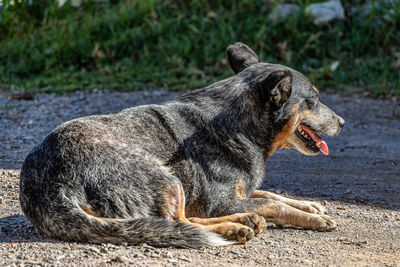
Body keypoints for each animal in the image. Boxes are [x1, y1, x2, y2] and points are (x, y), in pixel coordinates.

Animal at [19, 42, 344, 249]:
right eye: (313, 98)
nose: (342, 122)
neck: (237, 122)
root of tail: (48, 187)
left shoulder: (240, 191)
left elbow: (272, 194)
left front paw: (310, 206)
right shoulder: (220, 201)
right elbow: (272, 203)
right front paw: (314, 219)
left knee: (180, 220)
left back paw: (242, 222)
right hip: (165, 176)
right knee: (180, 221)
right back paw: (236, 225)